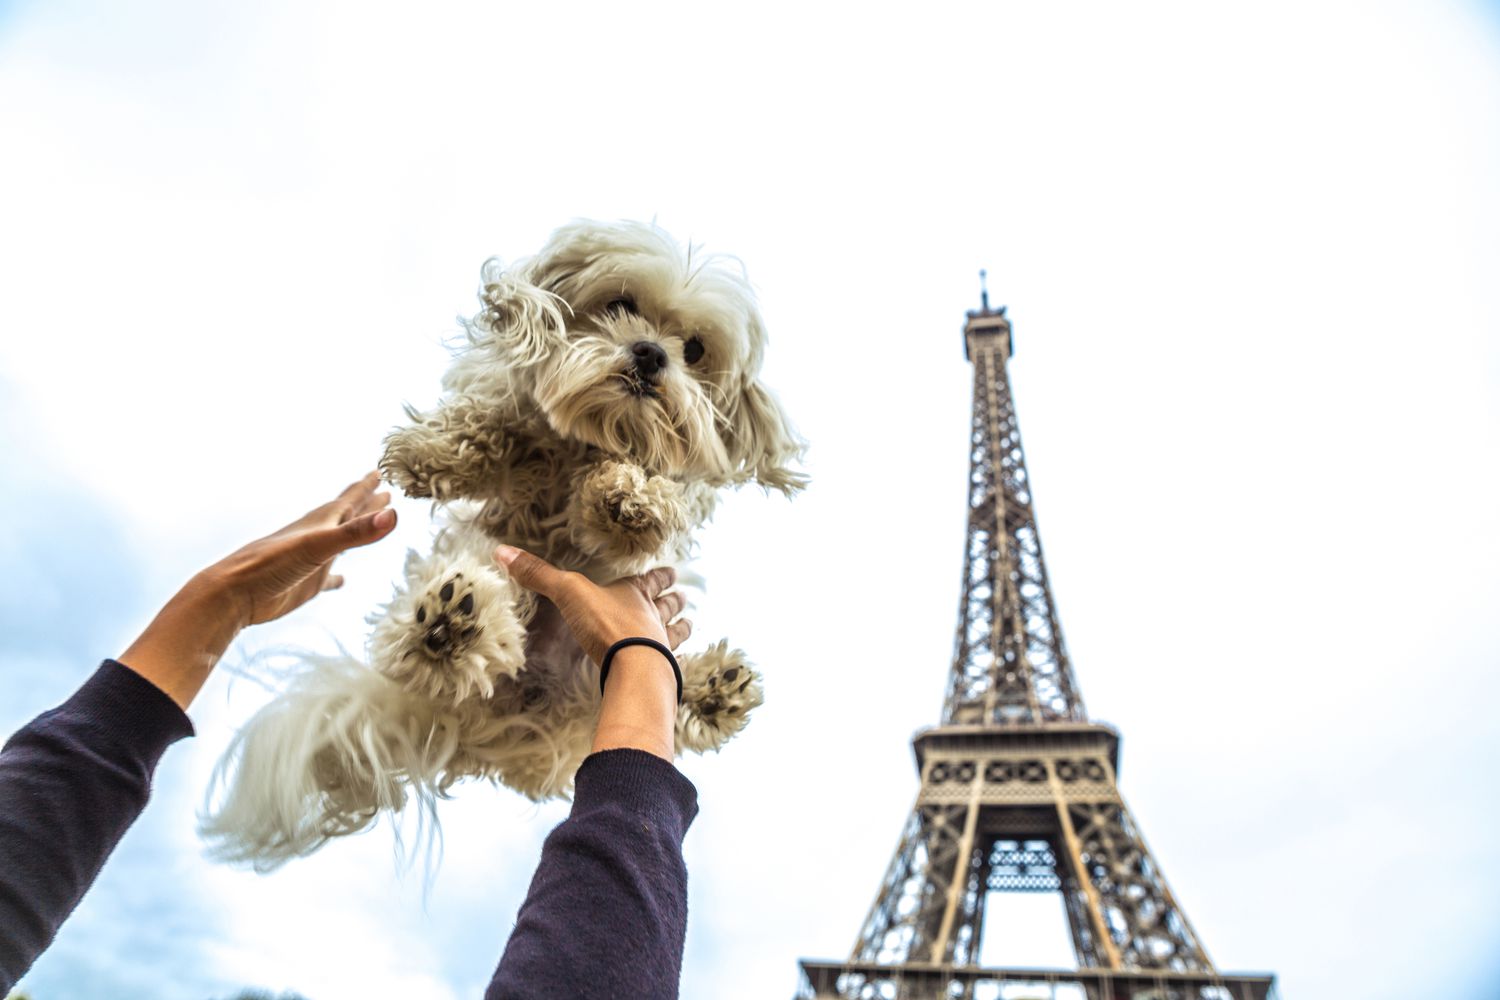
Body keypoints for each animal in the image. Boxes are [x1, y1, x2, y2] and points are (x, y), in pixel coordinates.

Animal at [208, 218, 810, 869]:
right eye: (620, 305)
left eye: (694, 350)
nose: (651, 353)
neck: (583, 445)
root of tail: (482, 731)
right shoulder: (512, 415)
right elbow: (493, 423)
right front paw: (430, 451)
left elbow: (640, 503)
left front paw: (629, 497)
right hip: (474, 576)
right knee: (433, 637)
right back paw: (448, 627)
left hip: (580, 694)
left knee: (629, 696)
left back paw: (712, 690)